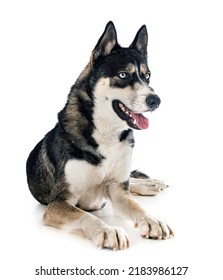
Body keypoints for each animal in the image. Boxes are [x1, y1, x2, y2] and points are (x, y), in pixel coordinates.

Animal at [26, 21, 172, 249]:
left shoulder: (118, 192)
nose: (155, 100)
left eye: (147, 76)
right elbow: (86, 216)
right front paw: (108, 230)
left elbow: (136, 206)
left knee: (130, 182)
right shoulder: (58, 203)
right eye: (123, 75)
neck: (106, 134)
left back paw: (147, 184)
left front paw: (152, 220)